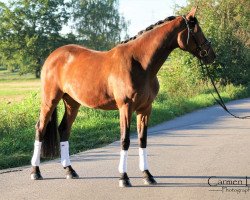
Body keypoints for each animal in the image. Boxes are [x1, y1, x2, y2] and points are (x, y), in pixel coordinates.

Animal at [31, 7, 215, 187]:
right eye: (196, 30)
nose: (211, 55)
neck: (140, 63)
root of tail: (53, 56)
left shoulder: (145, 109)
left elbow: (142, 140)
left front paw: (147, 175)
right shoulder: (125, 107)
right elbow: (125, 140)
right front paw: (124, 178)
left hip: (72, 102)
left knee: (64, 130)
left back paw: (70, 171)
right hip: (50, 100)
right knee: (40, 129)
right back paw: (36, 172)